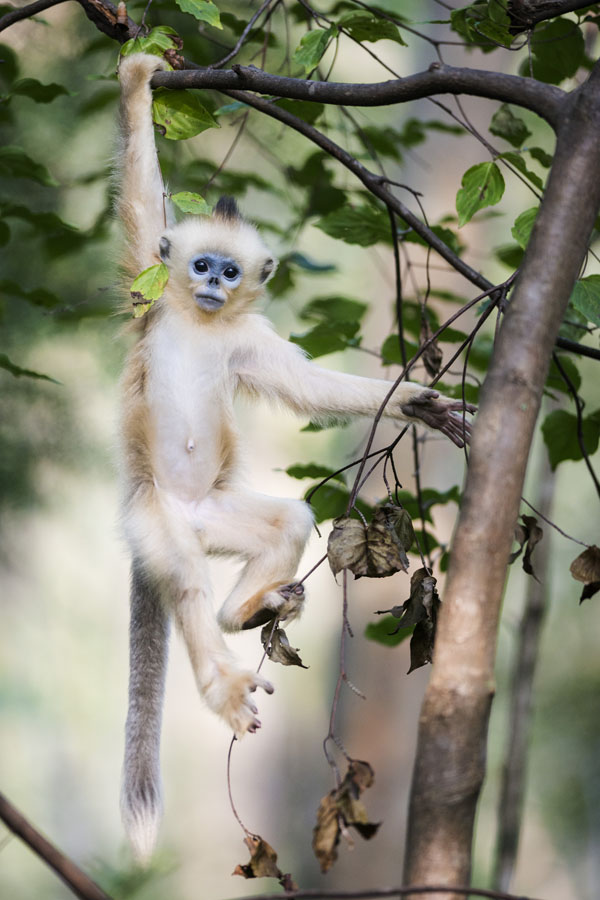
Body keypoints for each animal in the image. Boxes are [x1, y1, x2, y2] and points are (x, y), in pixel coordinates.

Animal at [116, 53, 474, 862]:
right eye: (202, 265)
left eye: (229, 273)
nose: (211, 287)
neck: (201, 324)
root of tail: (177, 512)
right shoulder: (149, 299)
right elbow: (141, 210)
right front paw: (139, 81)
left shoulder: (249, 342)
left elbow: (309, 385)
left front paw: (417, 405)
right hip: (157, 519)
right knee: (186, 580)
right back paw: (221, 682)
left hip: (219, 514)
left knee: (285, 523)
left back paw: (246, 608)